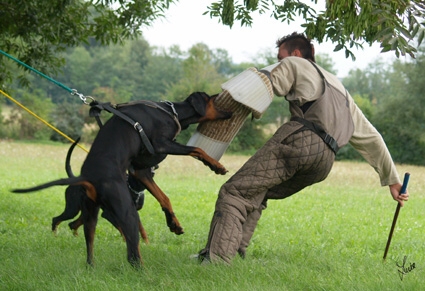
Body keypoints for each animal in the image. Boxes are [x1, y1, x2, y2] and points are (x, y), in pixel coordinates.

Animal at [14, 92, 232, 268]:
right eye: (215, 98)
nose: (231, 112)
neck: (173, 112)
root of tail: (86, 178)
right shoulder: (161, 145)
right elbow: (197, 149)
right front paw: (216, 166)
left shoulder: (140, 171)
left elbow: (164, 197)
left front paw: (174, 223)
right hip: (127, 213)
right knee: (132, 255)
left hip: (90, 214)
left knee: (89, 247)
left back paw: (92, 267)